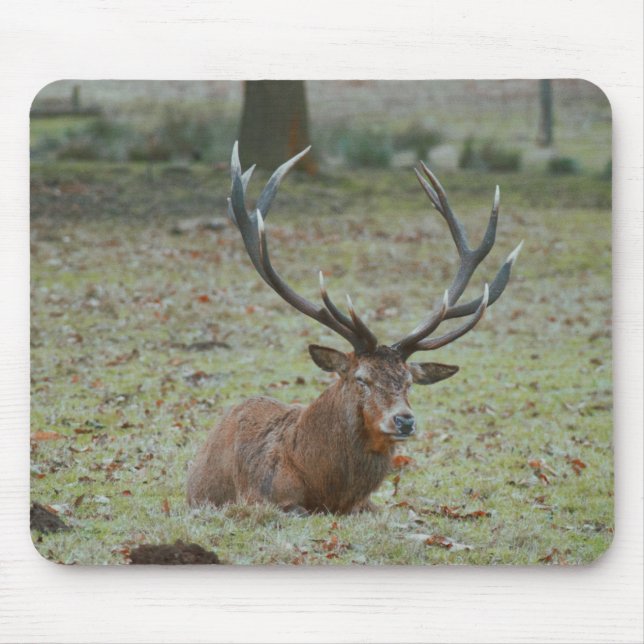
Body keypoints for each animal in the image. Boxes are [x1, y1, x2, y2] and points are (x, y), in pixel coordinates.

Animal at [187, 143, 522, 514]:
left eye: (409, 381)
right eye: (362, 378)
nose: (405, 420)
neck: (324, 488)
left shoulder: (366, 505)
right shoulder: (264, 499)